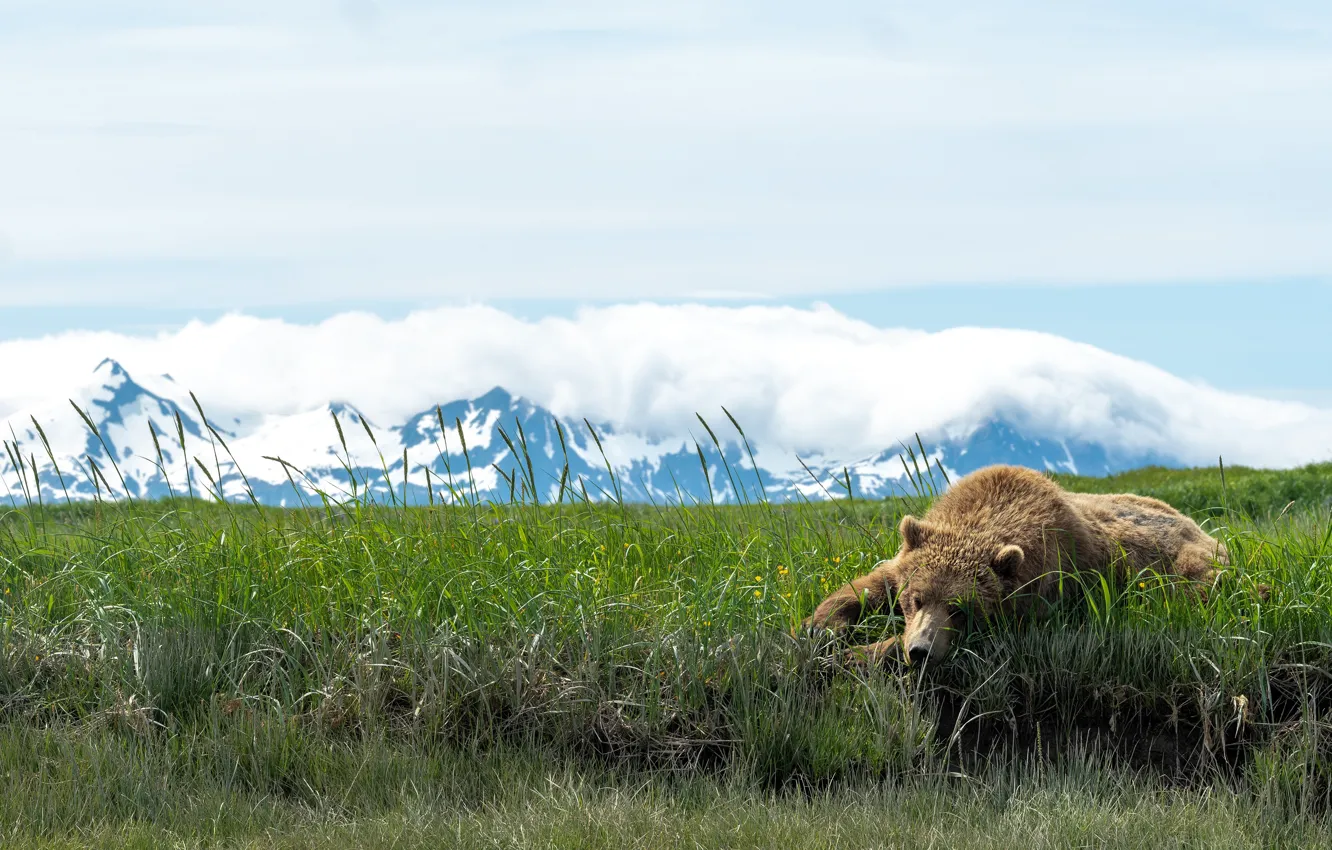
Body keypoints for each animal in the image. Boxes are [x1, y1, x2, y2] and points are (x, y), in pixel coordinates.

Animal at [799, 466, 1246, 666]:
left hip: (1187, 563)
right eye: (916, 599)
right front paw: (821, 628)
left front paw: (861, 651)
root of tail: (1204, 529)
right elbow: (871, 583)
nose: (920, 650)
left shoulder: (1036, 594)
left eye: (961, 609)